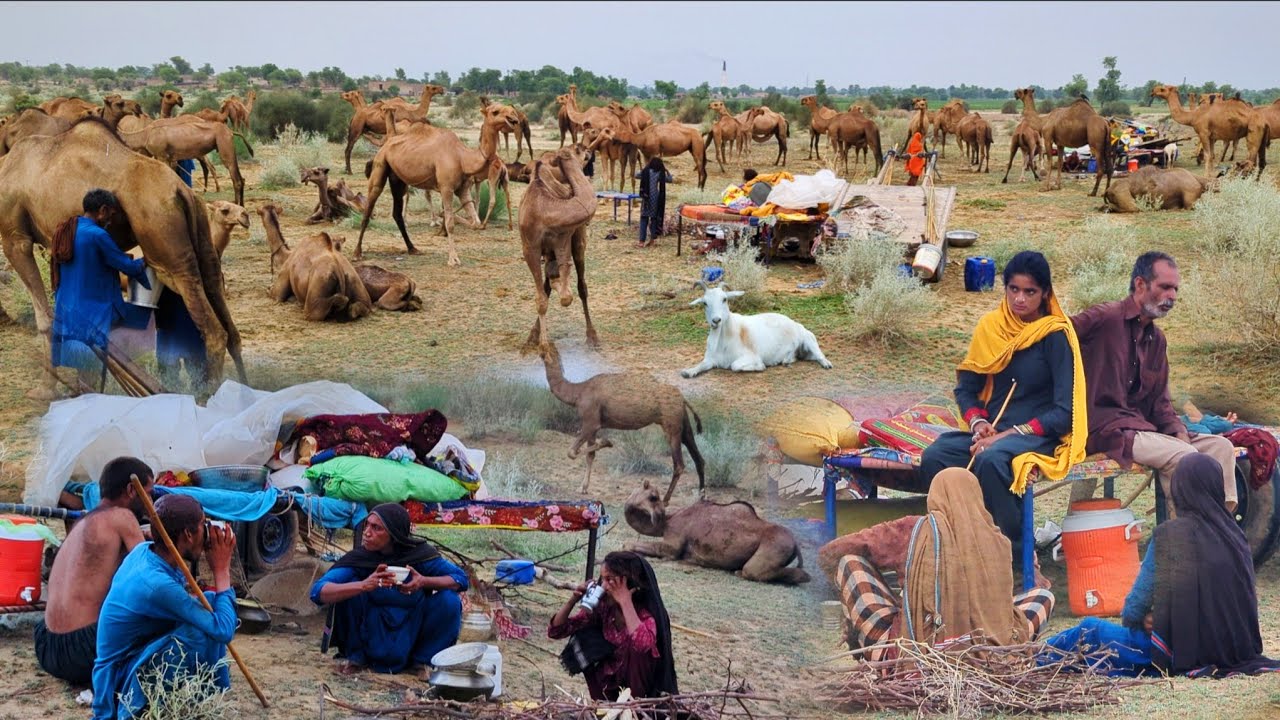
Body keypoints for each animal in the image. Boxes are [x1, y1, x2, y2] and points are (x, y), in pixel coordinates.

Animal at [118, 117, 254, 206]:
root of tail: (230, 131)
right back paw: (241, 206)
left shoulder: (162, 156)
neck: (145, 135)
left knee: (235, 178)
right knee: (240, 178)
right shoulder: (169, 158)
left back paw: (236, 206)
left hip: (224, 145)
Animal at [356, 103, 518, 264]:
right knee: (369, 206)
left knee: (396, 212)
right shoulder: (446, 187)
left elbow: (475, 222)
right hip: (380, 164)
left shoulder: (463, 189)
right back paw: (357, 253)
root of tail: (388, 140)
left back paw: (413, 248)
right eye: (495, 111)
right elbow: (450, 223)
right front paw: (453, 258)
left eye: (511, 110)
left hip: (398, 178)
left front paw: (446, 221)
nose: (514, 118)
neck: (462, 157)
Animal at [519, 144, 598, 349]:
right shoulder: (530, 248)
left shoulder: (563, 239)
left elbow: (566, 296)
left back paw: (592, 336)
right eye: (579, 149)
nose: (589, 151)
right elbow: (542, 297)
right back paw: (532, 336)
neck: (545, 209)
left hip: (577, 241)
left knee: (582, 286)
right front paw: (543, 345)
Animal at [539, 341, 705, 501]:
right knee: (698, 458)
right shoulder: (593, 426)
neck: (578, 393)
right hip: (683, 423)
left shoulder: (590, 422)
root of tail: (683, 399)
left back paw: (665, 500)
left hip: (671, 425)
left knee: (679, 464)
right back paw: (701, 496)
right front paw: (583, 488)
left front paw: (607, 442)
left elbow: (572, 452)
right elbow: (589, 455)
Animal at [623, 482, 811, 585]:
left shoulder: (674, 542)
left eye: (654, 497)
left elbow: (629, 544)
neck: (668, 521)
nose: (658, 514)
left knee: (753, 571)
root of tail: (795, 543)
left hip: (773, 548)